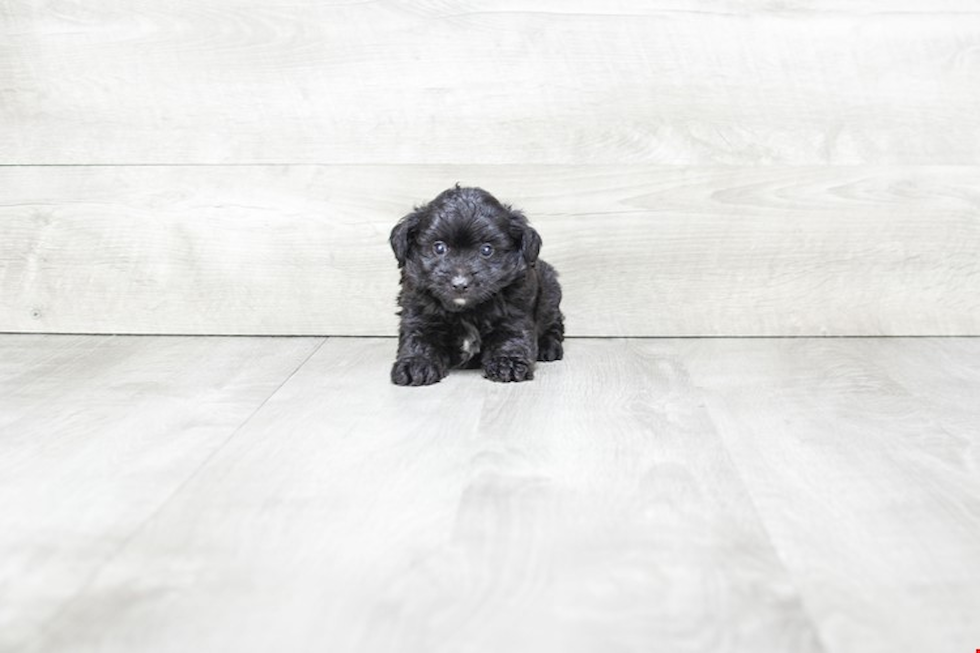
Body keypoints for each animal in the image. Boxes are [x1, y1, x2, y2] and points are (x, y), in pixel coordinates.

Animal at [388, 186, 564, 384]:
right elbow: (419, 336)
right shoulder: (418, 309)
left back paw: (548, 347)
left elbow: (511, 335)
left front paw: (508, 363)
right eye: (439, 247)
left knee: (554, 323)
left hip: (551, 292)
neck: (465, 310)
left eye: (487, 250)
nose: (460, 284)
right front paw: (416, 363)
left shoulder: (515, 312)